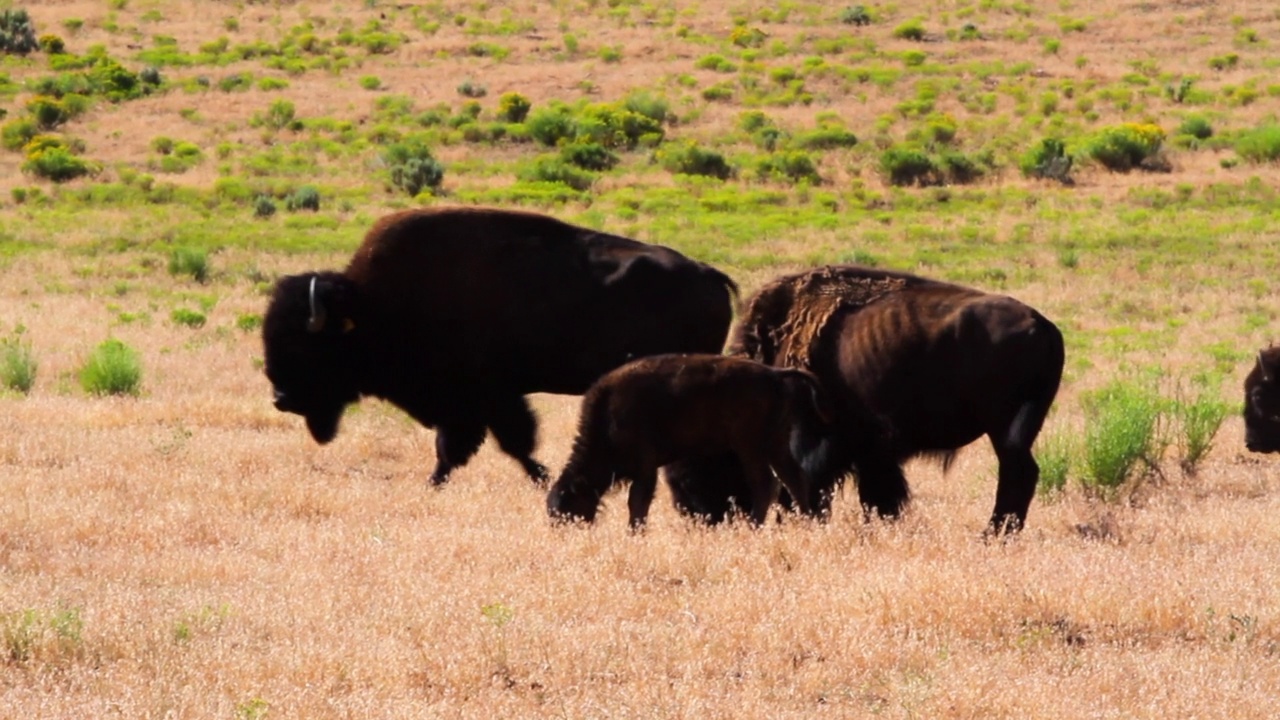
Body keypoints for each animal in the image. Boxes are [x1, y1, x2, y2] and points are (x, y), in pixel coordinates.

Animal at [261, 204, 742, 484]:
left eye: (305, 348)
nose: (281, 399)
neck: (372, 308)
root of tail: (711, 275)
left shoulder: (483, 397)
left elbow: (497, 443)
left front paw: (540, 476)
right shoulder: (481, 402)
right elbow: (478, 446)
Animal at [542, 353, 829, 527]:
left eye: (567, 508)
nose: (564, 530)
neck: (607, 415)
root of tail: (774, 374)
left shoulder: (645, 467)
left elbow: (638, 501)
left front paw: (635, 532)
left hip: (750, 446)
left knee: (765, 483)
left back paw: (753, 526)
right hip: (774, 445)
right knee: (793, 479)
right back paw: (807, 521)